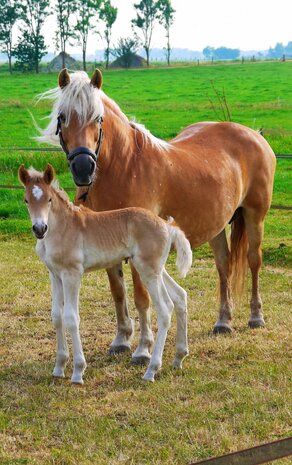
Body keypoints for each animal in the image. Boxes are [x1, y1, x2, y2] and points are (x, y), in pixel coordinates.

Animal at [18, 165, 192, 382]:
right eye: (26, 200)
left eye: (49, 199)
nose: (39, 228)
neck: (62, 228)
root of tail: (167, 226)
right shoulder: (55, 275)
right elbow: (57, 316)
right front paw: (58, 368)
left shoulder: (72, 274)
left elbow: (71, 318)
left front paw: (78, 371)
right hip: (156, 269)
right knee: (180, 296)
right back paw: (178, 358)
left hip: (148, 271)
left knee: (165, 308)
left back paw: (151, 369)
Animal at [37, 69, 278, 364]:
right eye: (62, 117)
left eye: (98, 118)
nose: (84, 168)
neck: (125, 166)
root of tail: (254, 135)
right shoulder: (105, 246)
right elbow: (118, 292)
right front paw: (121, 339)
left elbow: (142, 298)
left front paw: (143, 349)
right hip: (217, 225)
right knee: (224, 265)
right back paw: (223, 321)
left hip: (256, 216)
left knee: (254, 261)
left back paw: (256, 316)